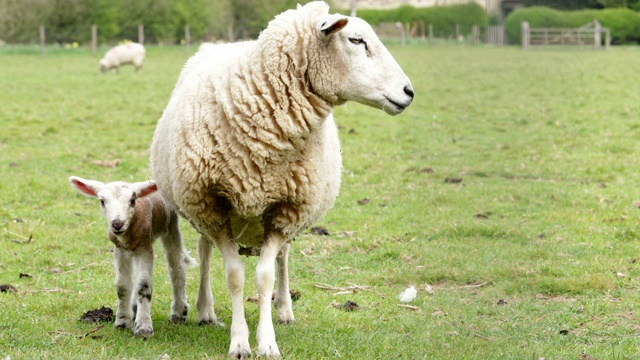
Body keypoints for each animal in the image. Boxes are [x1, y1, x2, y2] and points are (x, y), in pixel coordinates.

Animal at [69, 176, 195, 338]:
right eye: (102, 201)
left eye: (132, 200)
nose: (117, 224)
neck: (127, 236)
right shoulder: (120, 250)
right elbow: (122, 287)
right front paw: (122, 322)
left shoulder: (145, 247)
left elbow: (143, 286)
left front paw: (144, 328)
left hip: (171, 226)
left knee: (176, 268)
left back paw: (179, 313)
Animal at [148, 1, 412, 358]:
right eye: (356, 40)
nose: (409, 92)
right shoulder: (211, 206)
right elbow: (234, 275)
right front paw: (239, 341)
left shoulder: (286, 209)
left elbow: (265, 277)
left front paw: (267, 340)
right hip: (202, 211)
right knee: (204, 251)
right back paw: (206, 310)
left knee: (283, 257)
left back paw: (284, 309)